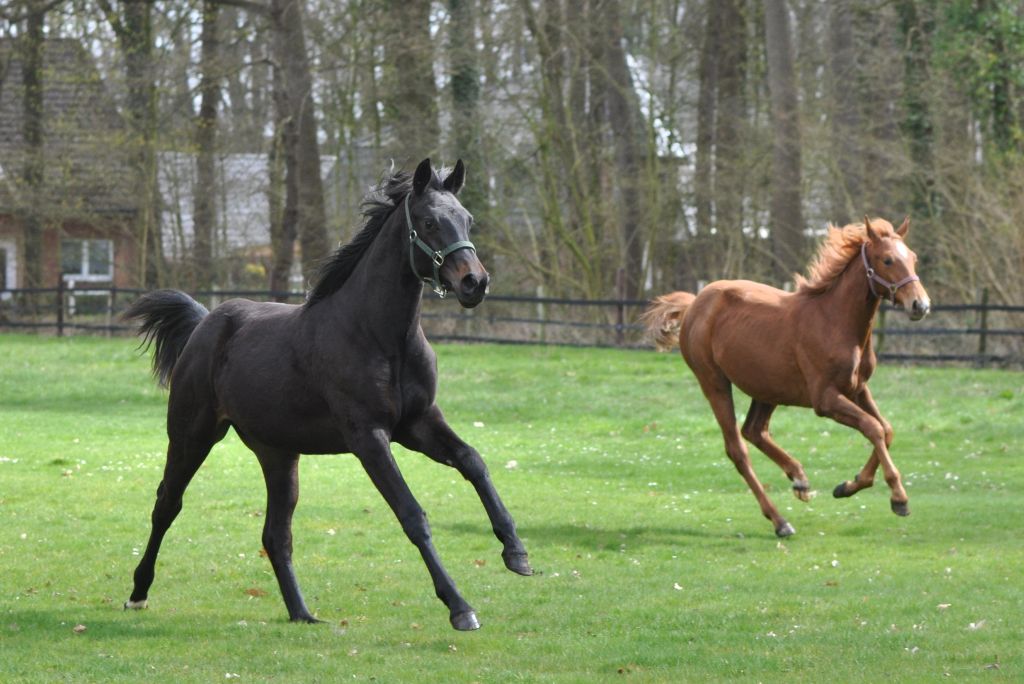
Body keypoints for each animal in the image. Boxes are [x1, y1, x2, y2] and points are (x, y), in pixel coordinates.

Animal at [123, 157, 532, 626]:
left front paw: (516, 553)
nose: (474, 283)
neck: (379, 336)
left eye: (468, 219)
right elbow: (412, 514)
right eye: (429, 222)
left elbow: (473, 462)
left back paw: (302, 613)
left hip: (278, 454)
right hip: (192, 435)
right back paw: (138, 592)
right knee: (167, 505)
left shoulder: (418, 424)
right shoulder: (368, 437)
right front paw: (460, 607)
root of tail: (205, 323)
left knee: (275, 533)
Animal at [643, 216, 933, 536]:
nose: (920, 305)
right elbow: (874, 428)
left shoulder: (858, 388)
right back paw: (780, 520)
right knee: (737, 448)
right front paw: (898, 498)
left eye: (913, 258)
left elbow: (887, 429)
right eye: (887, 260)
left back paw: (799, 480)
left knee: (754, 431)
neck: (835, 321)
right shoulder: (825, 400)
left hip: (766, 387)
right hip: (714, 383)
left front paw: (848, 486)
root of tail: (695, 303)